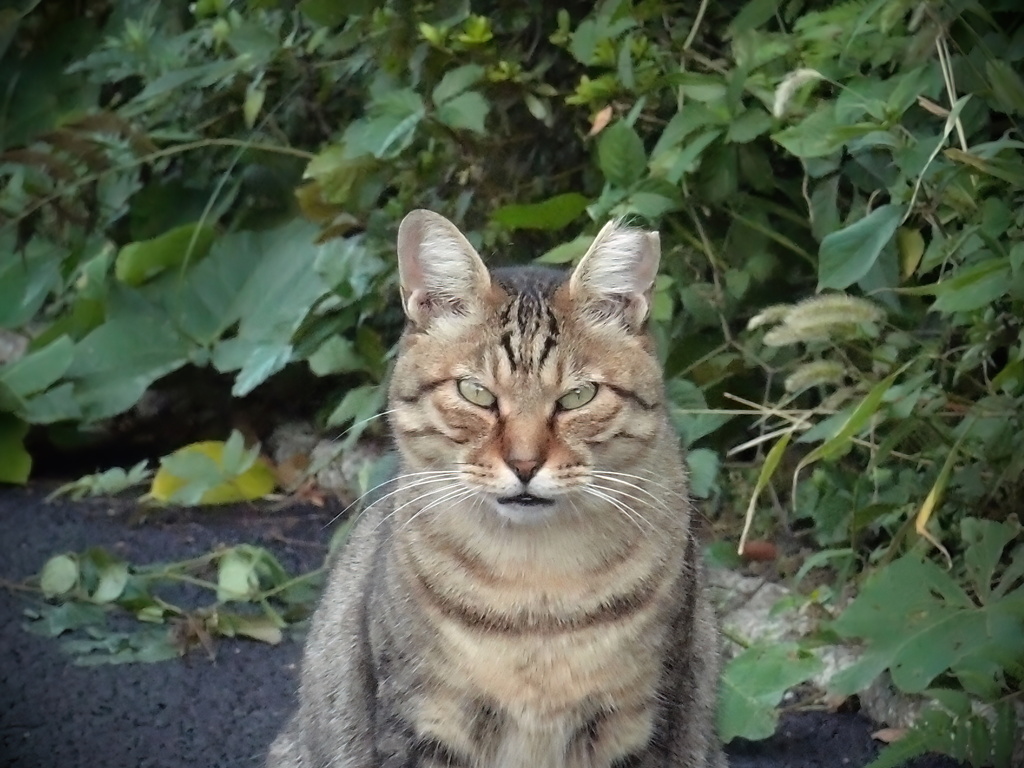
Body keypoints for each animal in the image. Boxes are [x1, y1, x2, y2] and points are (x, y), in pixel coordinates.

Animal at [268, 210, 724, 768]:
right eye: (476, 394)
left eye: (578, 397)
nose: (524, 464)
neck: (535, 597)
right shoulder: (421, 720)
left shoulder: (645, 722)